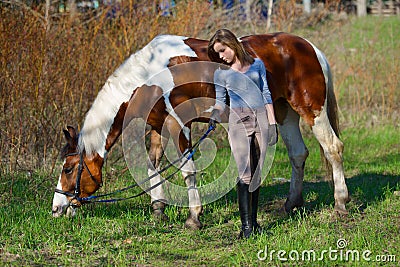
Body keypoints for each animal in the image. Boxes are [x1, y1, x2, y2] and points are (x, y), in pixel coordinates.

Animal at [51, 32, 348, 229]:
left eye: (69, 169)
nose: (57, 208)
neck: (150, 76)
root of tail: (309, 47)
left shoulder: (179, 125)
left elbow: (188, 171)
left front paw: (194, 216)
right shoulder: (157, 126)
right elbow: (152, 165)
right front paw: (158, 208)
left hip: (312, 109)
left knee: (332, 149)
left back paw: (341, 204)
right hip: (284, 111)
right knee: (298, 154)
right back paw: (291, 204)